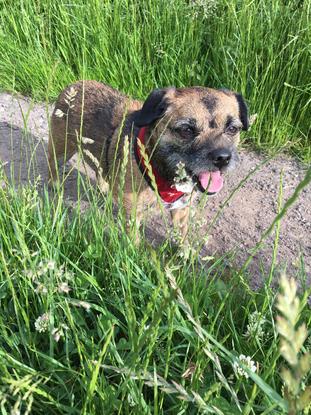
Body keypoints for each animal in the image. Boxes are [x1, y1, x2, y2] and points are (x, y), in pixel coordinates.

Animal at [48, 81, 249, 242]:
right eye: (186, 130)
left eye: (233, 129)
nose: (223, 157)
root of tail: (74, 85)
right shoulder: (132, 216)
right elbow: (135, 243)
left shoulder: (181, 211)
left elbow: (183, 238)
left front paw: (185, 258)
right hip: (61, 148)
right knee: (53, 164)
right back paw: (55, 185)